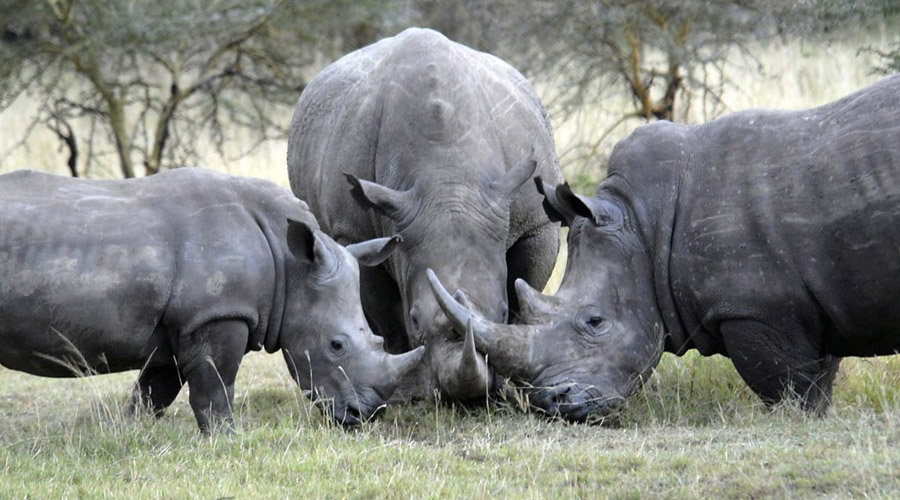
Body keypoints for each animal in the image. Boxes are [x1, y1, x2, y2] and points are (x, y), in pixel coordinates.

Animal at [0, 168, 424, 432]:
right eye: (336, 345)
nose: (364, 416)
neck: (290, 265)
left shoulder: (180, 325)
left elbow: (153, 393)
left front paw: (129, 434)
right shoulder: (217, 314)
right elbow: (216, 385)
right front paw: (226, 439)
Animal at [287, 28, 563, 400]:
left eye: (502, 311)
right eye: (416, 319)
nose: (466, 396)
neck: (448, 178)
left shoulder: (533, 222)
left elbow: (526, 289)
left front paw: (513, 386)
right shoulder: (355, 233)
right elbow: (384, 310)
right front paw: (408, 392)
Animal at [429, 74, 900, 421]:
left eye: (595, 321)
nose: (551, 403)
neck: (645, 226)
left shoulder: (757, 308)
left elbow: (792, 387)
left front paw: (797, 421)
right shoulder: (818, 300)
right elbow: (820, 375)